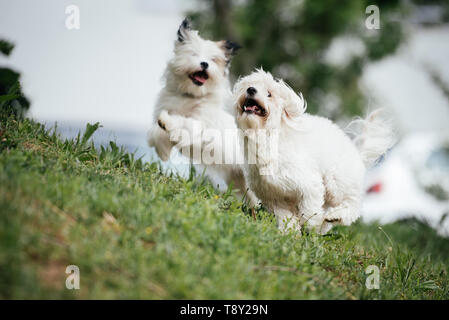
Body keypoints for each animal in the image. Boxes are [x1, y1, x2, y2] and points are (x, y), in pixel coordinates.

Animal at [148, 18, 256, 205]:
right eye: (193, 54)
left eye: (213, 60)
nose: (204, 64)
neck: (192, 96)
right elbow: (157, 131)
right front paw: (162, 150)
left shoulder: (200, 123)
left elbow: (183, 123)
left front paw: (168, 122)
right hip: (239, 179)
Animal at [233, 69, 394, 234]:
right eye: (248, 85)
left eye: (269, 94)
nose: (251, 90)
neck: (267, 138)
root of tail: (356, 151)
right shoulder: (276, 197)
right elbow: (286, 217)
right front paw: (289, 233)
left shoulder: (310, 185)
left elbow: (310, 211)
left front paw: (310, 225)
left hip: (335, 182)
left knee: (352, 203)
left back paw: (335, 216)